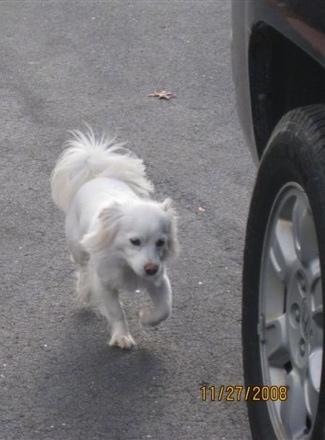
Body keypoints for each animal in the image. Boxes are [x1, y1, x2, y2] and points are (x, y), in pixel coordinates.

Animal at [50, 129, 178, 348]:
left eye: (160, 242)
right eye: (135, 241)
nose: (150, 268)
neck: (126, 264)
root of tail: (96, 176)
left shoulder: (159, 281)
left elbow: (164, 309)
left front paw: (145, 318)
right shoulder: (105, 284)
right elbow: (116, 312)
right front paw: (121, 337)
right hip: (78, 248)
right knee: (82, 270)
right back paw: (85, 291)